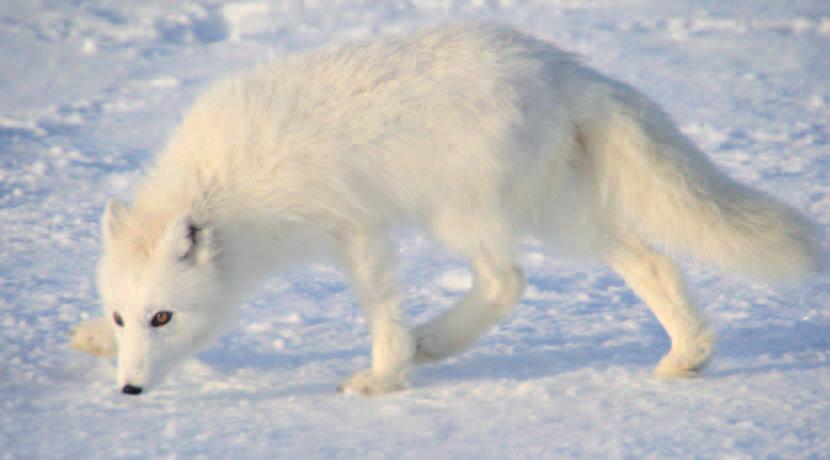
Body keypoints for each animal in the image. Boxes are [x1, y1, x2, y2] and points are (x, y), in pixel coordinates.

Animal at [71, 22, 824, 396]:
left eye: (164, 317)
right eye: (126, 314)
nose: (130, 391)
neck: (227, 187)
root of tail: (562, 66)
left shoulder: (357, 228)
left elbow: (379, 310)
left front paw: (383, 377)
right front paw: (96, 343)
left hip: (465, 214)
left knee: (509, 280)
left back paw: (428, 341)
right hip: (559, 210)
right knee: (651, 261)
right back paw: (687, 359)